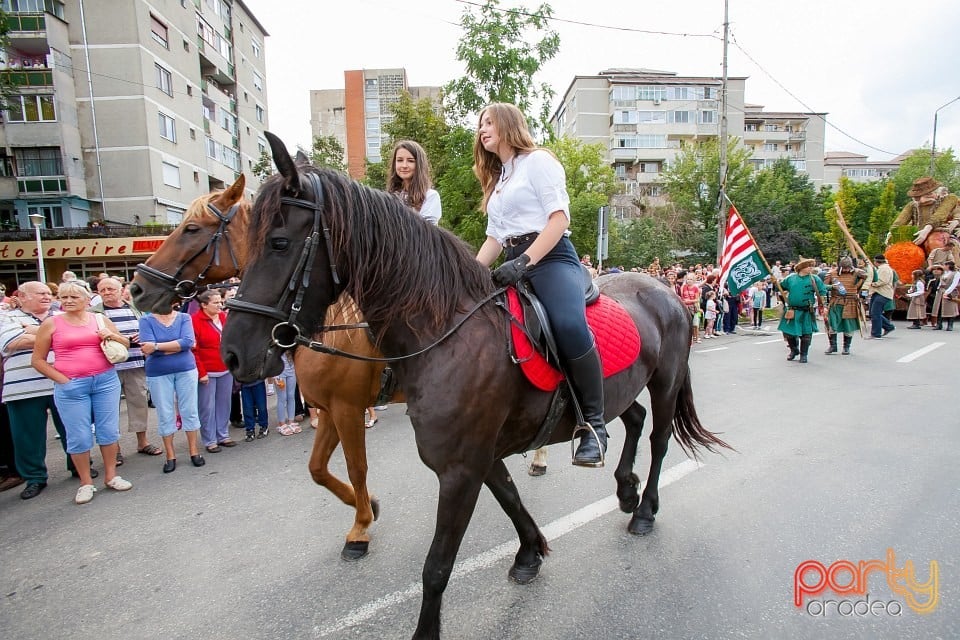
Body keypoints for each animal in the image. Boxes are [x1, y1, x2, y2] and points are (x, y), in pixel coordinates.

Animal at [128, 174, 390, 560]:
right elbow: (317, 469)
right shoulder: (329, 409)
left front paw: (359, 530)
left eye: (191, 228)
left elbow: (357, 468)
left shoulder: (347, 409)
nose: (137, 287)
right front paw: (368, 506)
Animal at [218, 132, 728, 636]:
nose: (233, 353)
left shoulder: (458, 467)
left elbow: (437, 565)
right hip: (622, 389)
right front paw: (529, 553)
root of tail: (664, 291)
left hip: (665, 383)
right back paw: (624, 488)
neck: (445, 333)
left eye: (279, 242)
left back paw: (643, 510)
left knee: (659, 438)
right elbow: (510, 497)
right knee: (632, 418)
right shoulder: (477, 454)